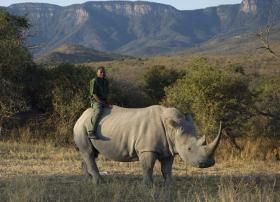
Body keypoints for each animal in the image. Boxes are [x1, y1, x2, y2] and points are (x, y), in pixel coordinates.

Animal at [73, 105, 222, 185]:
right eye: (189, 149)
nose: (209, 163)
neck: (172, 128)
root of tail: (81, 116)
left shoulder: (169, 148)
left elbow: (167, 168)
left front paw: (170, 185)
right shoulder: (147, 149)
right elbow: (148, 167)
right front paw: (148, 186)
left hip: (87, 126)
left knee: (90, 153)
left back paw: (88, 181)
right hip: (81, 127)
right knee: (88, 152)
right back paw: (99, 182)